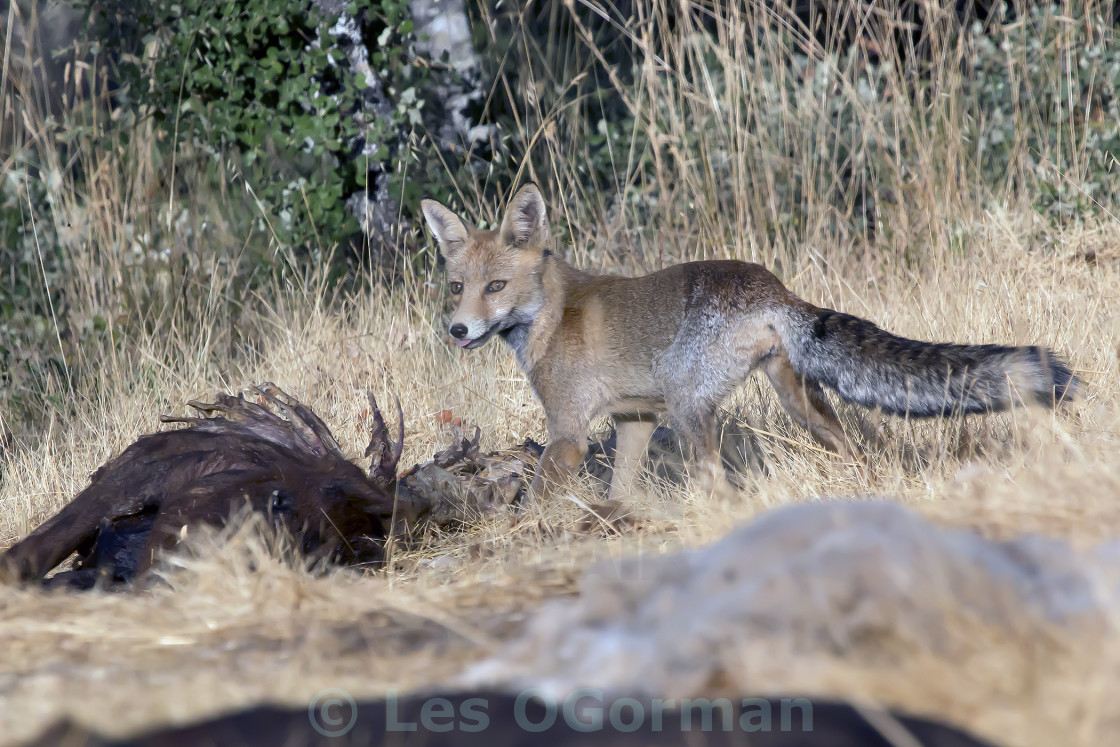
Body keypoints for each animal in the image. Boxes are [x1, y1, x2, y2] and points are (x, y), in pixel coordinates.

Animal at [418, 184, 1075, 501]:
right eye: (456, 288)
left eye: (496, 287)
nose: (457, 330)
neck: (551, 315)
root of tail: (772, 289)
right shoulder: (634, 420)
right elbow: (621, 491)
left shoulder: (570, 434)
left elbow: (532, 503)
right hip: (801, 404)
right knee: (857, 452)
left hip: (689, 408)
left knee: (717, 485)